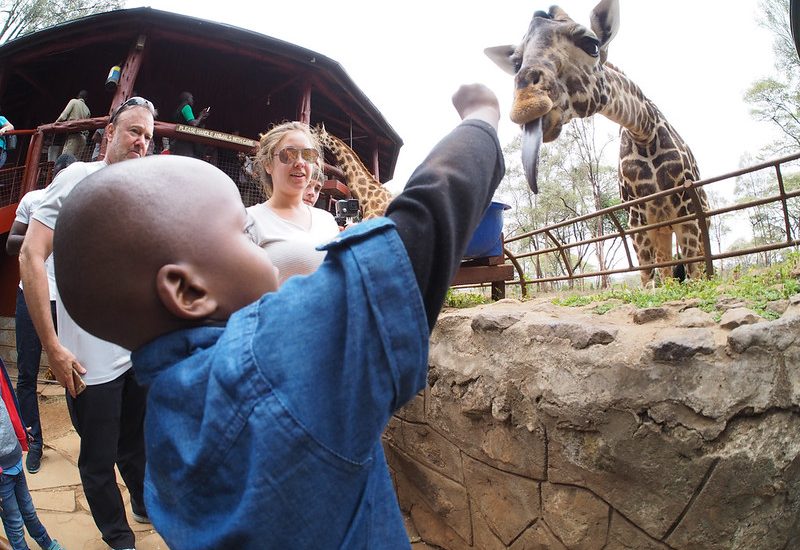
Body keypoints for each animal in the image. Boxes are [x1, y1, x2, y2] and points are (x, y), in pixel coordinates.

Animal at [484, 0, 708, 284]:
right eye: (515, 63)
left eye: (591, 44)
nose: (527, 104)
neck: (644, 133)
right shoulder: (639, 221)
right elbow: (649, 279)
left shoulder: (687, 213)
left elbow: (694, 274)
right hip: (662, 229)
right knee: (667, 268)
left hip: (697, 219)